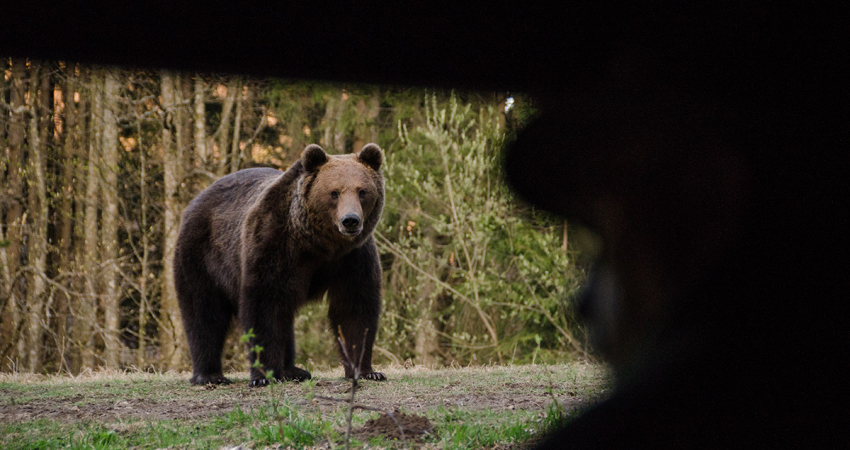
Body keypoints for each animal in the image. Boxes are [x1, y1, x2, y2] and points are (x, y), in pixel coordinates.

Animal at [173, 143, 387, 386]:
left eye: (362, 191)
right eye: (334, 192)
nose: (350, 220)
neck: (318, 243)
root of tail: (196, 200)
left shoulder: (352, 259)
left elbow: (354, 307)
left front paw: (367, 370)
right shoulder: (273, 244)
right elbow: (265, 306)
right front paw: (263, 376)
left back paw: (294, 370)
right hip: (202, 255)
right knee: (204, 311)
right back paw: (209, 375)